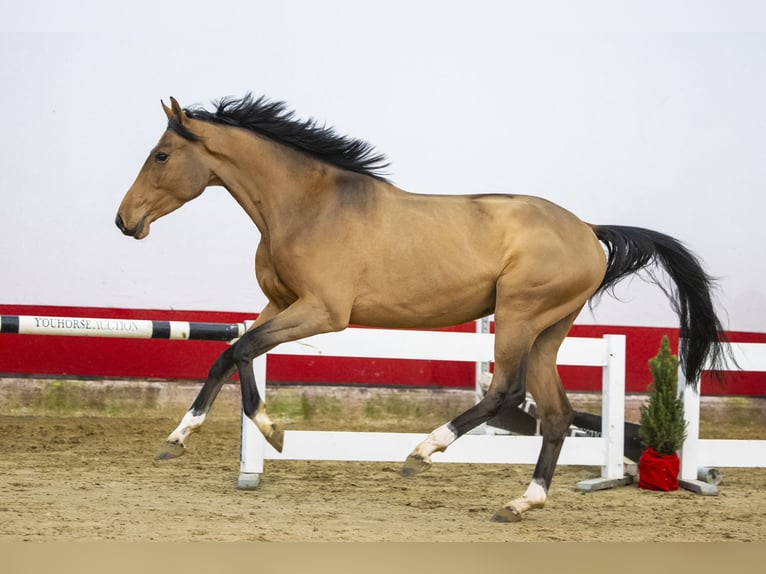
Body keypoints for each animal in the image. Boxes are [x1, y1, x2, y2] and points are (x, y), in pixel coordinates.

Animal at [115, 95, 732, 528]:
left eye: (161, 155)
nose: (124, 221)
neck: (308, 206)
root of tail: (589, 230)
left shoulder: (322, 311)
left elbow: (240, 348)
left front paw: (257, 433)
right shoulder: (280, 304)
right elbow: (232, 353)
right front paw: (195, 436)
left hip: (519, 317)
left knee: (506, 392)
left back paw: (422, 451)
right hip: (548, 331)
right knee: (555, 414)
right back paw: (521, 503)